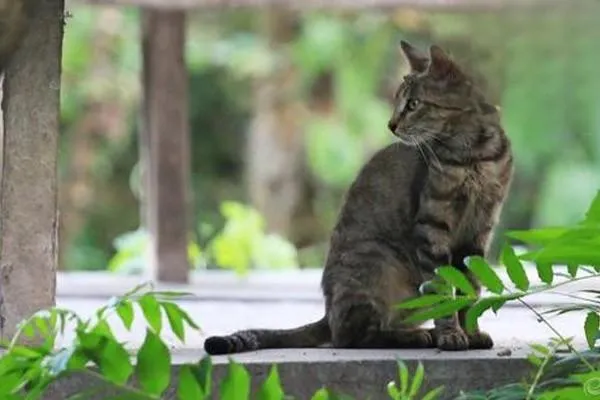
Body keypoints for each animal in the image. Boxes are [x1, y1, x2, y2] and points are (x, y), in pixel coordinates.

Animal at [204, 39, 512, 354]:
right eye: (398, 102)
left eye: (413, 104)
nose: (391, 124)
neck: (474, 155)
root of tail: (327, 314)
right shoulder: (433, 226)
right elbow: (442, 289)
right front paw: (451, 334)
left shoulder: (479, 230)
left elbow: (470, 289)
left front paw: (471, 332)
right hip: (378, 263)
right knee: (352, 336)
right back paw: (415, 337)